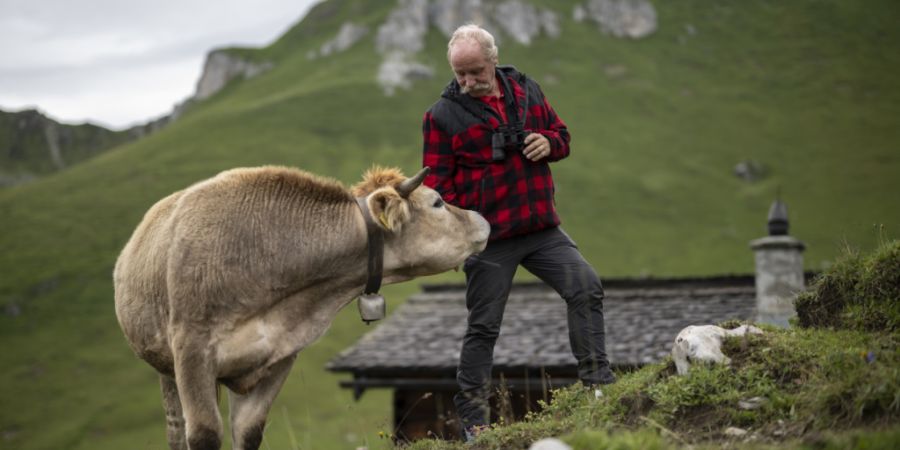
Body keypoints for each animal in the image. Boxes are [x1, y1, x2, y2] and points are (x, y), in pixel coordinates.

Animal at [113, 165, 490, 450]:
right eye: (438, 202)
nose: (482, 219)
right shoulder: (192, 351)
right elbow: (204, 435)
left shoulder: (279, 355)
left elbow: (248, 432)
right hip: (166, 369)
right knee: (176, 431)